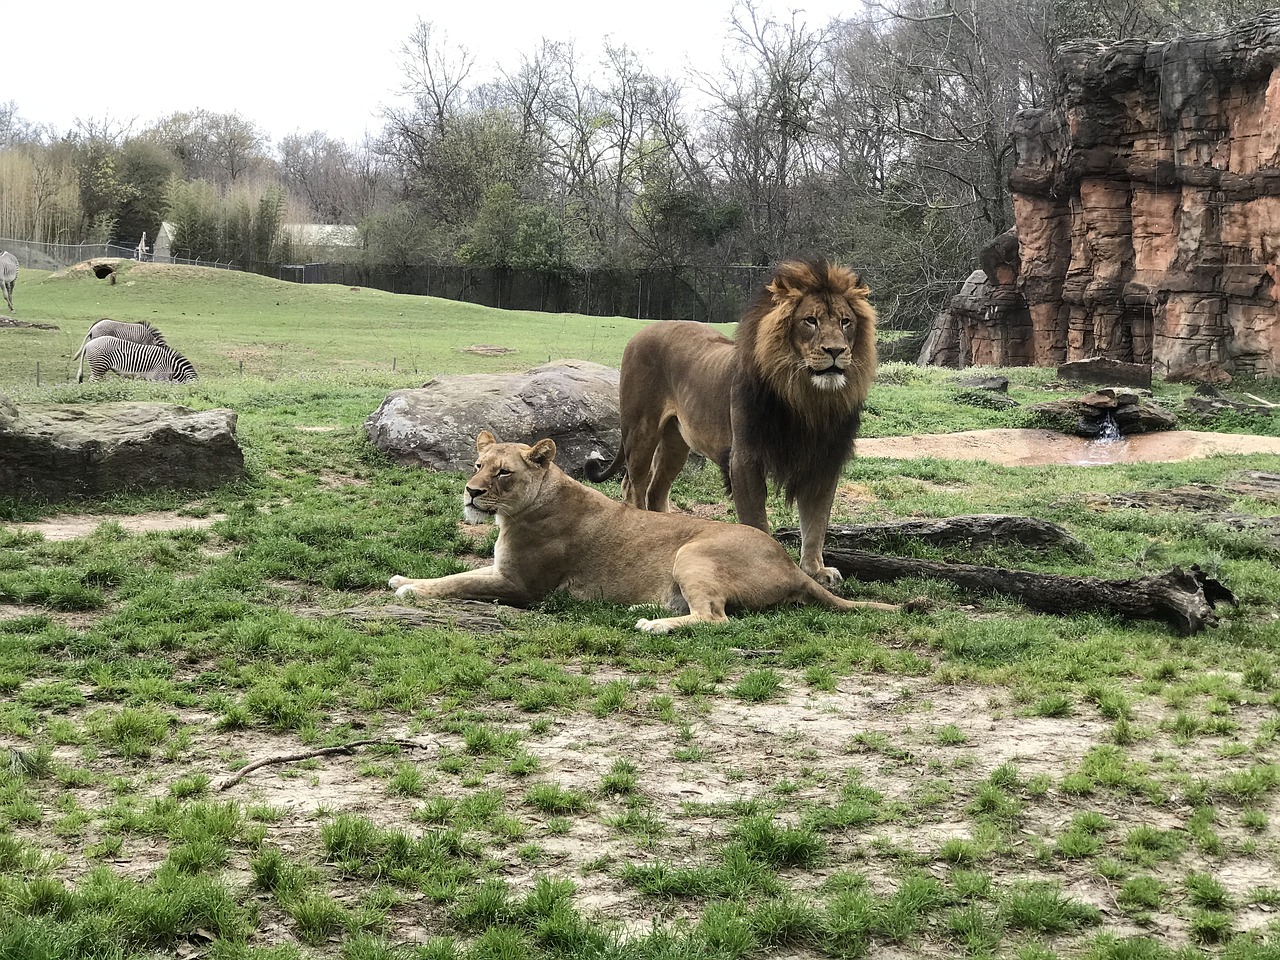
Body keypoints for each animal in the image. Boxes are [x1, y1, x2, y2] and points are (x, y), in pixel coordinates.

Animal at [389, 432, 901, 634]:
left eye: (503, 474)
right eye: (477, 465)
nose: (471, 492)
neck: (515, 513)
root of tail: (790, 565)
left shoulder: (522, 586)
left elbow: (458, 583)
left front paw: (409, 589)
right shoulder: (503, 570)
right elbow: (459, 572)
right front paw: (405, 578)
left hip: (692, 553)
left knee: (716, 618)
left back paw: (652, 624)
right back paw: (645, 608)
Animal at [586, 257, 875, 586]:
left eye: (845, 322)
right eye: (810, 321)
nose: (836, 351)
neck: (807, 400)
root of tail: (642, 332)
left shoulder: (823, 461)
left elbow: (816, 522)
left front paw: (816, 570)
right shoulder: (744, 458)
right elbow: (756, 520)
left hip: (676, 442)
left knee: (655, 490)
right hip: (641, 431)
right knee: (633, 486)